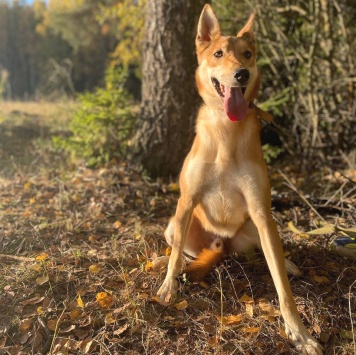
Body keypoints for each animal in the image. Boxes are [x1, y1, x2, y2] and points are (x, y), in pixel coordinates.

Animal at [157, 4, 324, 354]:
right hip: (176, 224)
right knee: (180, 248)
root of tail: (222, 245)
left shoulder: (261, 212)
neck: (226, 130)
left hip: (258, 227)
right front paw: (168, 285)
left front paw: (299, 333)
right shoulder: (186, 201)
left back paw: (287, 263)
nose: (242, 74)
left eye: (247, 55)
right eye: (218, 53)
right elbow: (175, 256)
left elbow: (282, 288)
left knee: (264, 251)